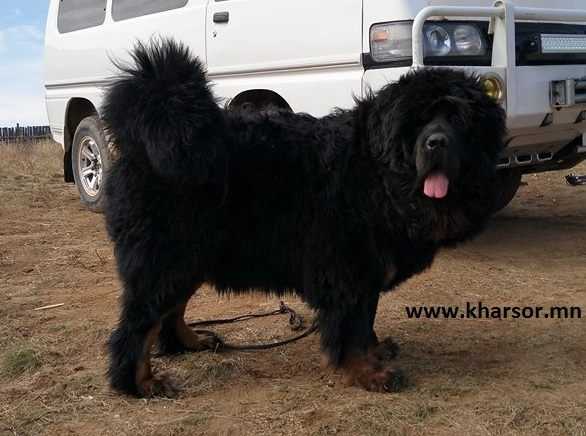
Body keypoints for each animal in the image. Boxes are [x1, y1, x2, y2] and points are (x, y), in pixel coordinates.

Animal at [100, 39, 502, 396]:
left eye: (458, 120)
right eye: (417, 123)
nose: (436, 142)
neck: (379, 173)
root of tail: (140, 144)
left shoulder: (367, 273)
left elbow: (366, 320)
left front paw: (374, 353)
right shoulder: (346, 271)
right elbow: (351, 330)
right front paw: (366, 372)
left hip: (190, 256)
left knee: (171, 310)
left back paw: (188, 342)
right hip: (168, 258)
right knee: (138, 326)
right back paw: (139, 383)